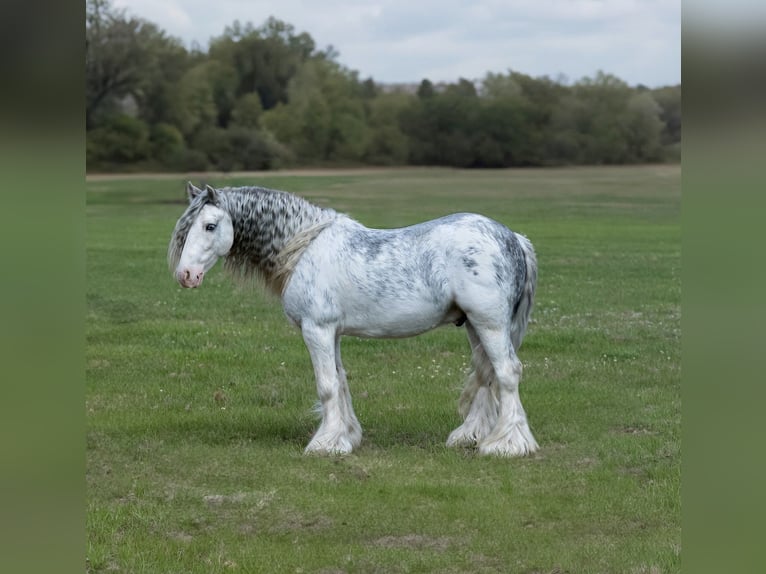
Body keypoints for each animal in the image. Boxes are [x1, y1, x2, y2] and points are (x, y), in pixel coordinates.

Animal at [168, 182, 538, 457]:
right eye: (185, 228)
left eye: (210, 226)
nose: (185, 275)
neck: (303, 248)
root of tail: (513, 238)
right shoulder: (331, 332)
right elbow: (341, 381)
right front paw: (344, 436)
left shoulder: (316, 329)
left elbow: (327, 385)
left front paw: (324, 444)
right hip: (475, 326)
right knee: (486, 376)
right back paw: (470, 436)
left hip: (490, 324)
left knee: (507, 373)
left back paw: (506, 445)